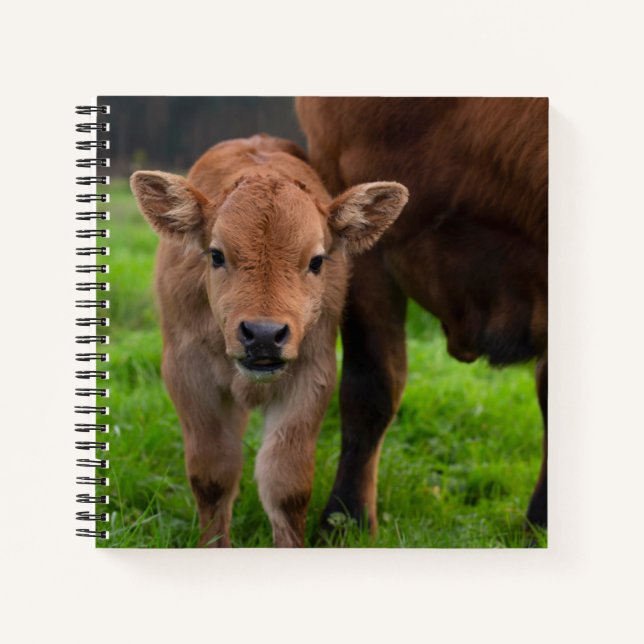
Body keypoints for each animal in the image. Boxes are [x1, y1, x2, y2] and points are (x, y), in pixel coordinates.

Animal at [129, 134, 408, 547]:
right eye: (216, 255)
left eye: (317, 261)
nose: (262, 334)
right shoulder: (187, 375)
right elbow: (213, 475)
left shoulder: (312, 375)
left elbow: (286, 484)